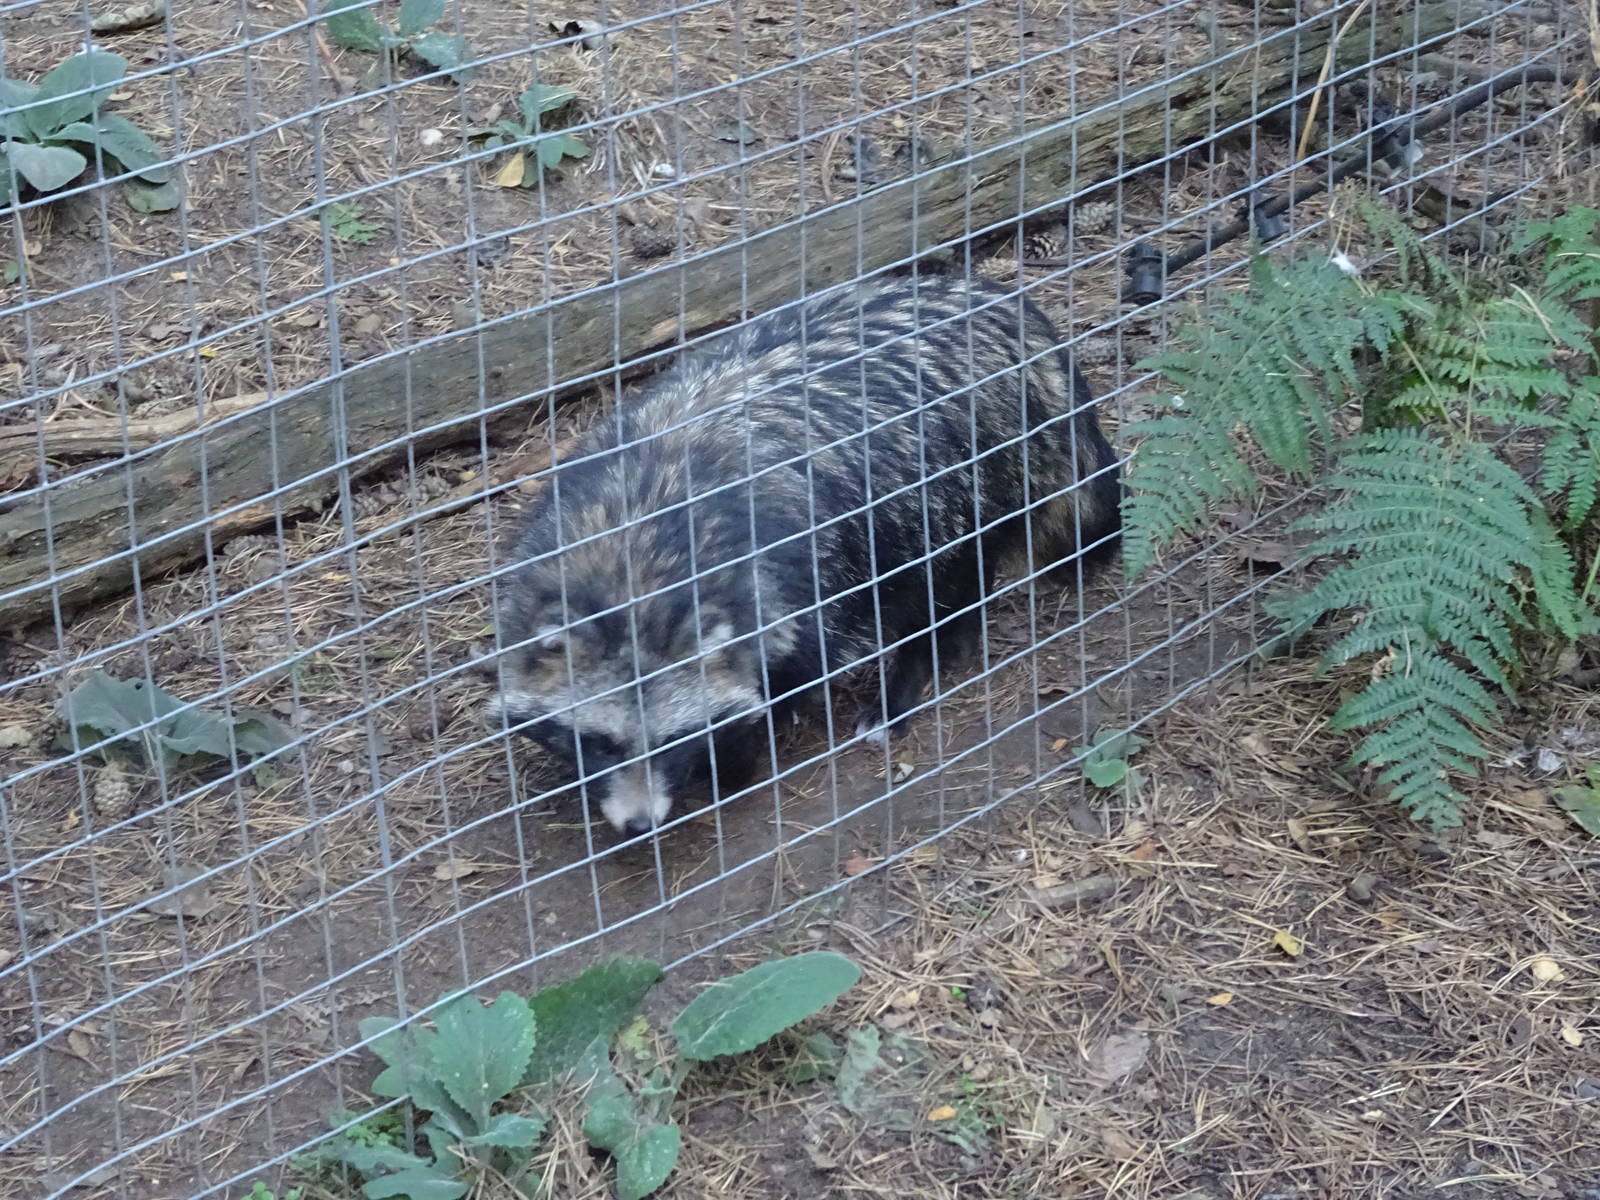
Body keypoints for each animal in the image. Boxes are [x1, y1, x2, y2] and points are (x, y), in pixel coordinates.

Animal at [489, 271, 1121, 837]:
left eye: (674, 739)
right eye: (602, 743)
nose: (639, 825)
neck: (636, 543)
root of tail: (1001, 306)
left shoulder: (798, 570)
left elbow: (798, 656)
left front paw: (746, 742)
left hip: (968, 474)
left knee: (941, 583)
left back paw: (914, 671)